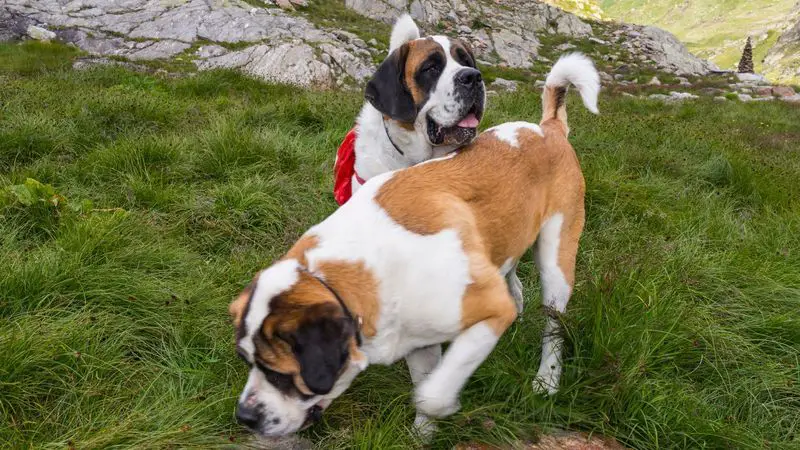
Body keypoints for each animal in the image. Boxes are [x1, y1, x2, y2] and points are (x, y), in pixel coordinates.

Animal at [231, 52, 600, 436]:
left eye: (278, 373)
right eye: (245, 360)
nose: (244, 416)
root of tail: (547, 127)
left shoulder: (487, 308)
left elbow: (430, 394)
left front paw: (443, 407)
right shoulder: (418, 334)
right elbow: (424, 380)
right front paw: (423, 434)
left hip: (557, 263)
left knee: (553, 326)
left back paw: (547, 380)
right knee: (514, 281)